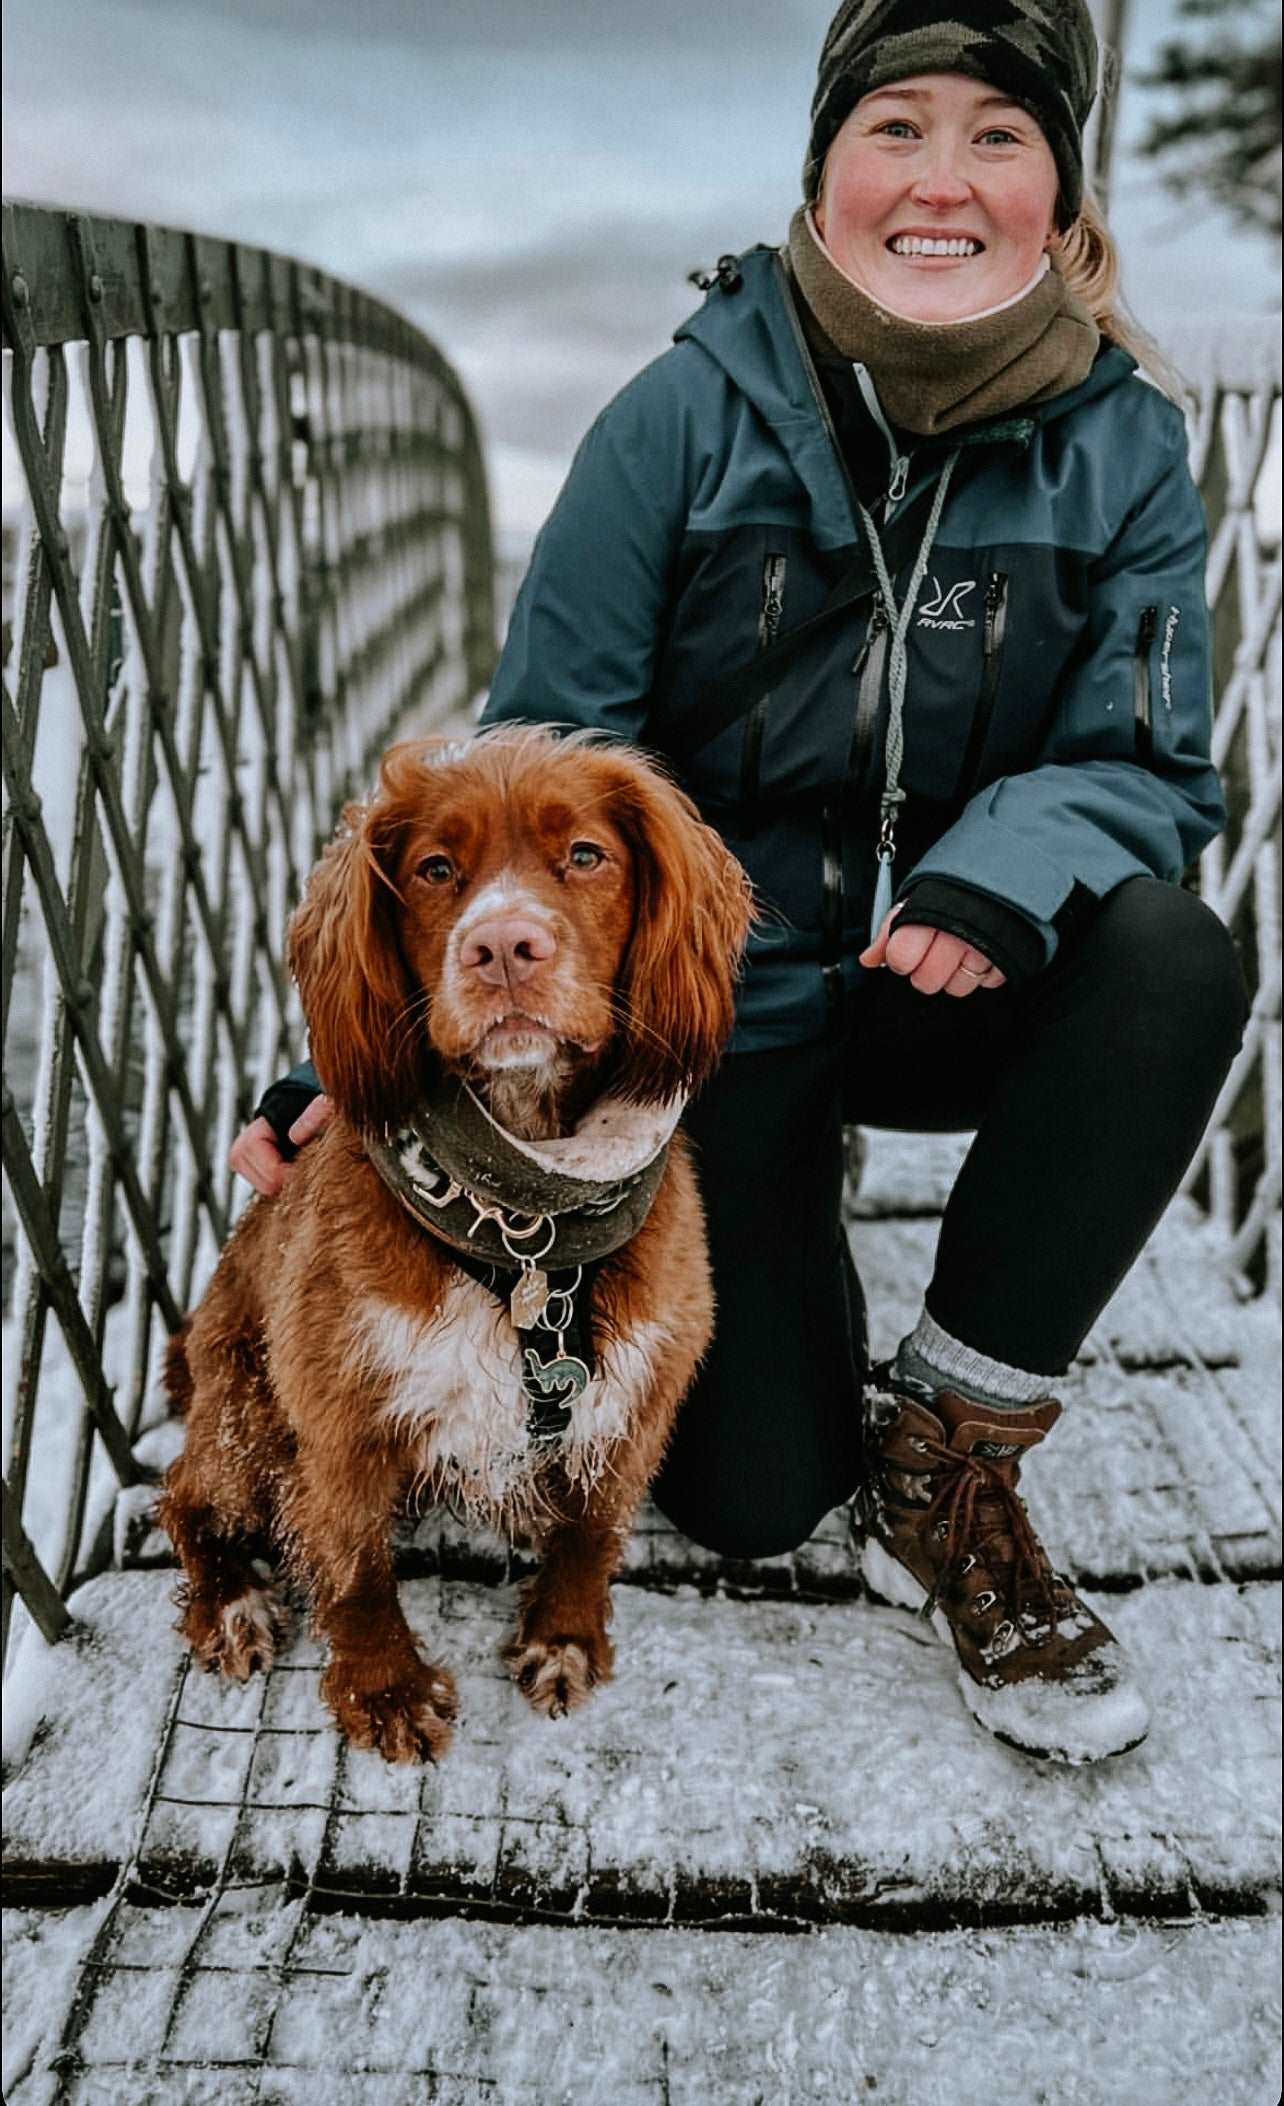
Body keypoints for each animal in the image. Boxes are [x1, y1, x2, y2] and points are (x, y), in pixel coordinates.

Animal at [158, 728, 749, 1760]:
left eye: (586, 855)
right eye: (435, 869)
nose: (502, 947)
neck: (524, 1221)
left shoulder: (638, 1391)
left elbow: (593, 1530)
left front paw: (564, 1639)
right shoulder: (340, 1413)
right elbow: (354, 1569)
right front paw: (386, 1690)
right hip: (245, 1404)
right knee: (188, 1497)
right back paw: (231, 1606)